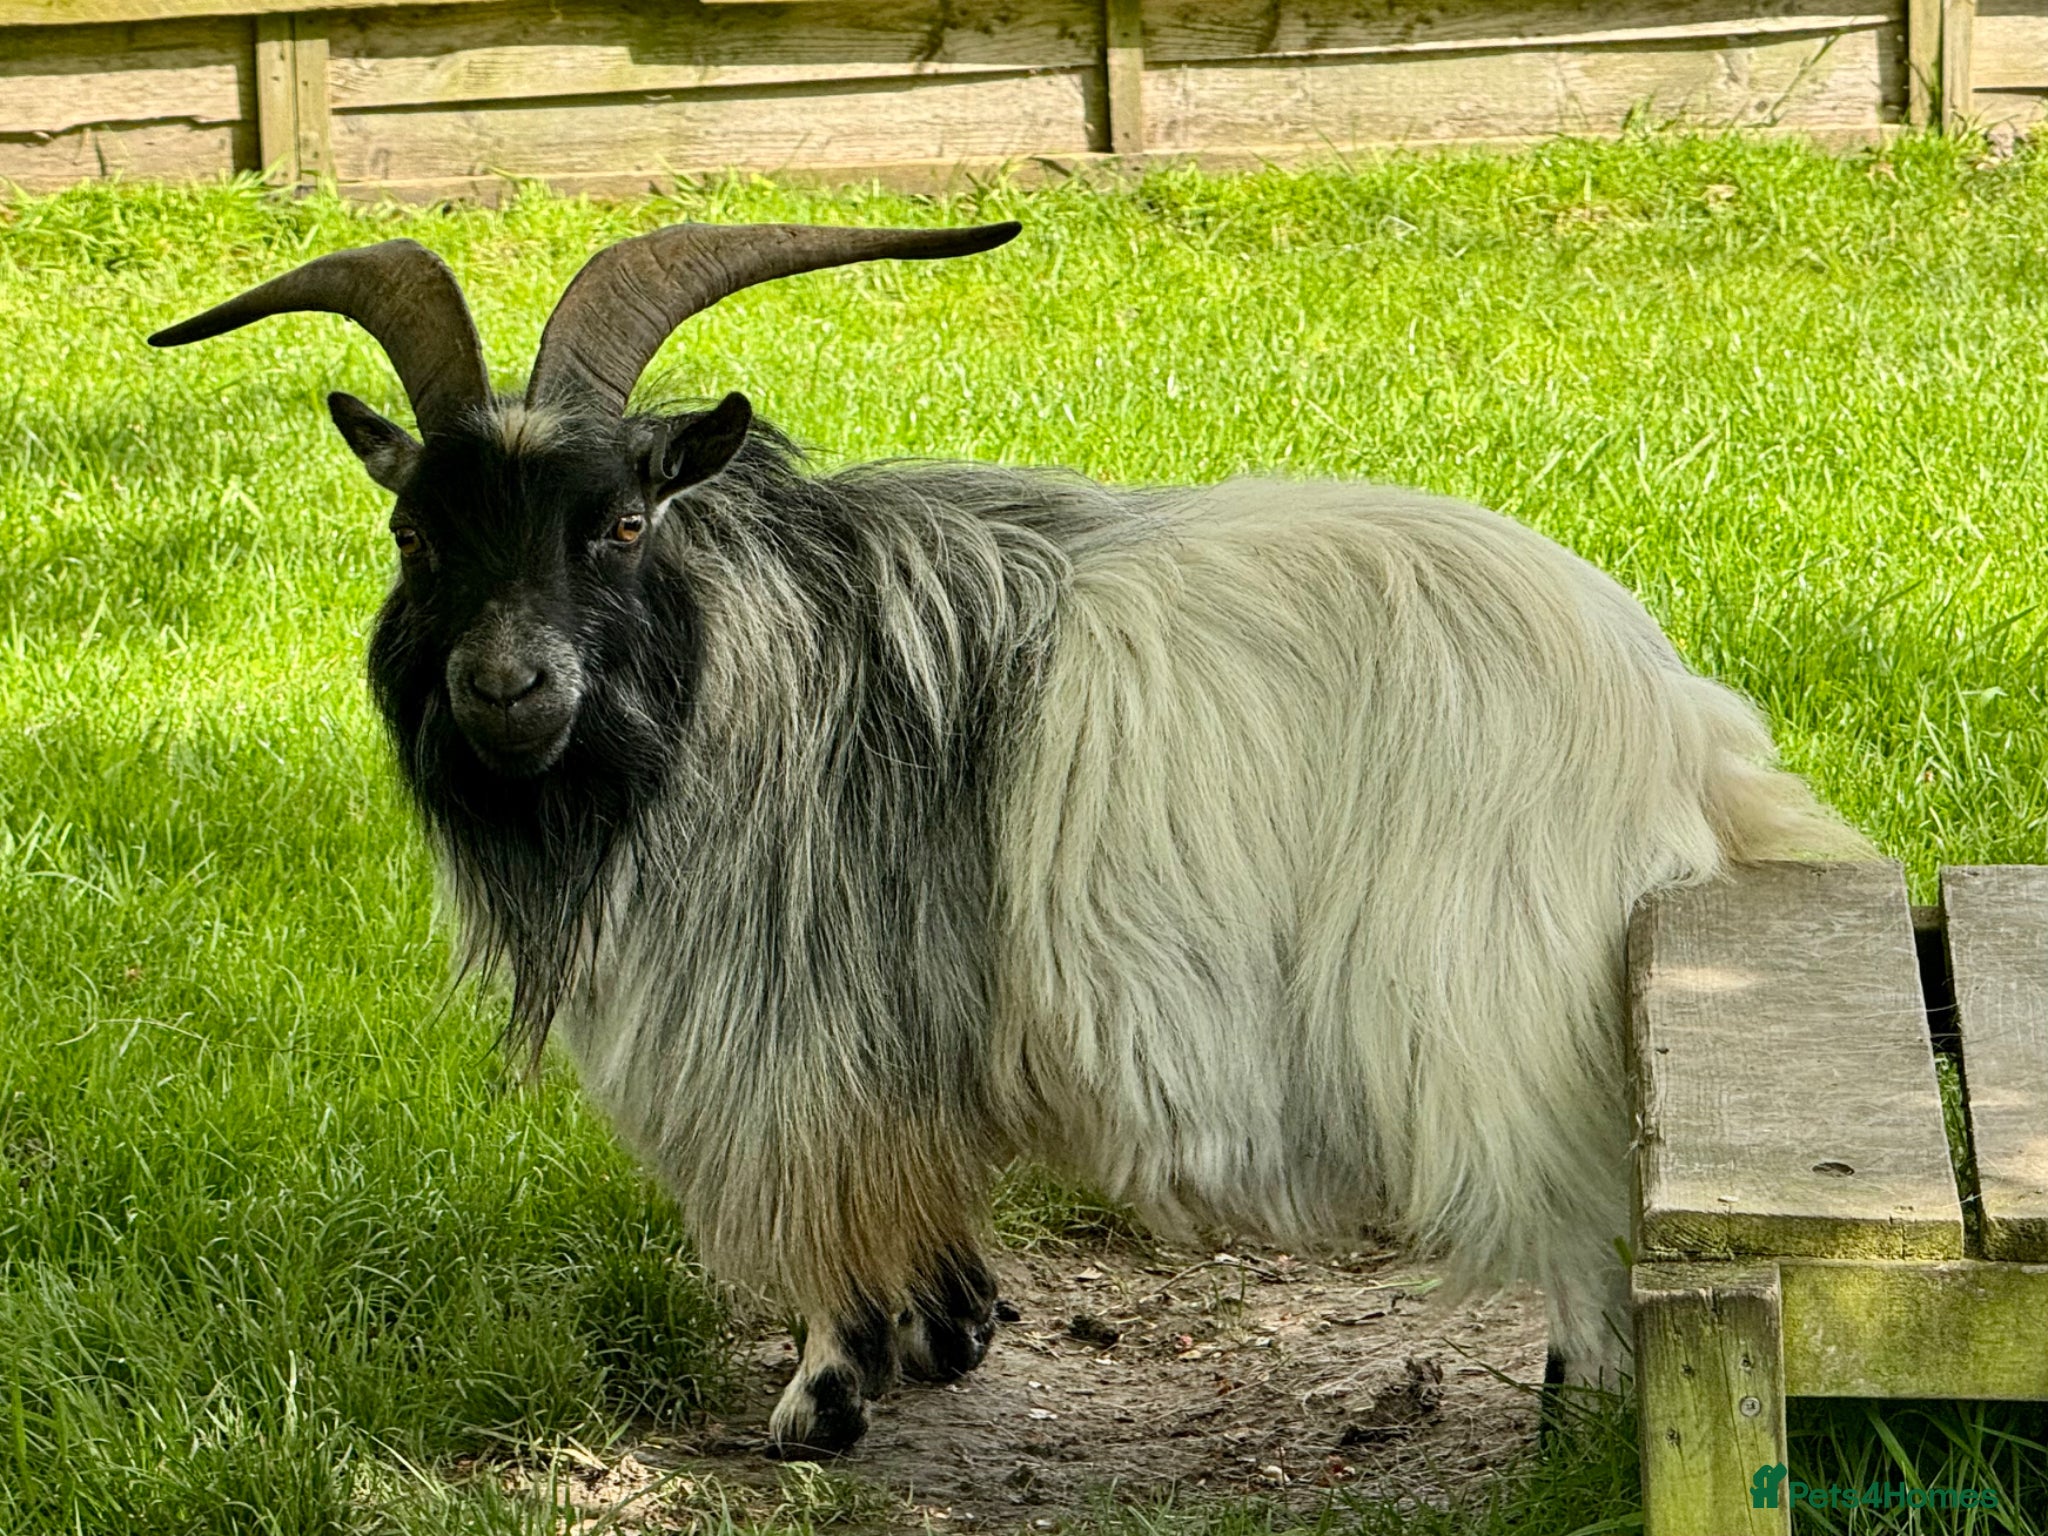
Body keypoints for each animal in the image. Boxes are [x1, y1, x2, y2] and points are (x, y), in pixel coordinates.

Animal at [151, 222, 1868, 1456]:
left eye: (620, 525)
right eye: (414, 532)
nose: (507, 686)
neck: (745, 664)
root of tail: (1673, 716)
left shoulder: (802, 1025)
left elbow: (830, 1194)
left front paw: (822, 1397)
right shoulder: (911, 1022)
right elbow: (921, 1185)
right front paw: (949, 1333)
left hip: (1489, 1016)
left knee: (1580, 1231)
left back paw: (1575, 1425)